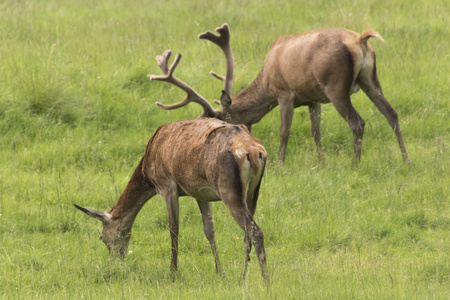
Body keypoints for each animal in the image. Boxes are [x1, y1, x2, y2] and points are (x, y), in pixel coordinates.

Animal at [74, 116, 268, 282]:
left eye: (102, 237)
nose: (114, 263)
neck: (147, 172)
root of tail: (253, 151)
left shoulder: (167, 185)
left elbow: (173, 229)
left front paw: (173, 272)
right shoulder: (201, 192)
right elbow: (209, 231)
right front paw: (220, 272)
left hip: (228, 189)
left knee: (255, 231)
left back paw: (265, 281)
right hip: (253, 191)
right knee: (246, 234)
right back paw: (242, 277)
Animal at [149, 23, 410, 165]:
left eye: (215, 121)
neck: (266, 82)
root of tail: (359, 40)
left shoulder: (285, 93)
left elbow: (285, 132)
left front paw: (280, 163)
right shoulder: (313, 99)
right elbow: (316, 132)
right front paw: (321, 161)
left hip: (335, 86)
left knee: (358, 122)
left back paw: (355, 163)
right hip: (369, 79)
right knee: (392, 113)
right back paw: (406, 159)